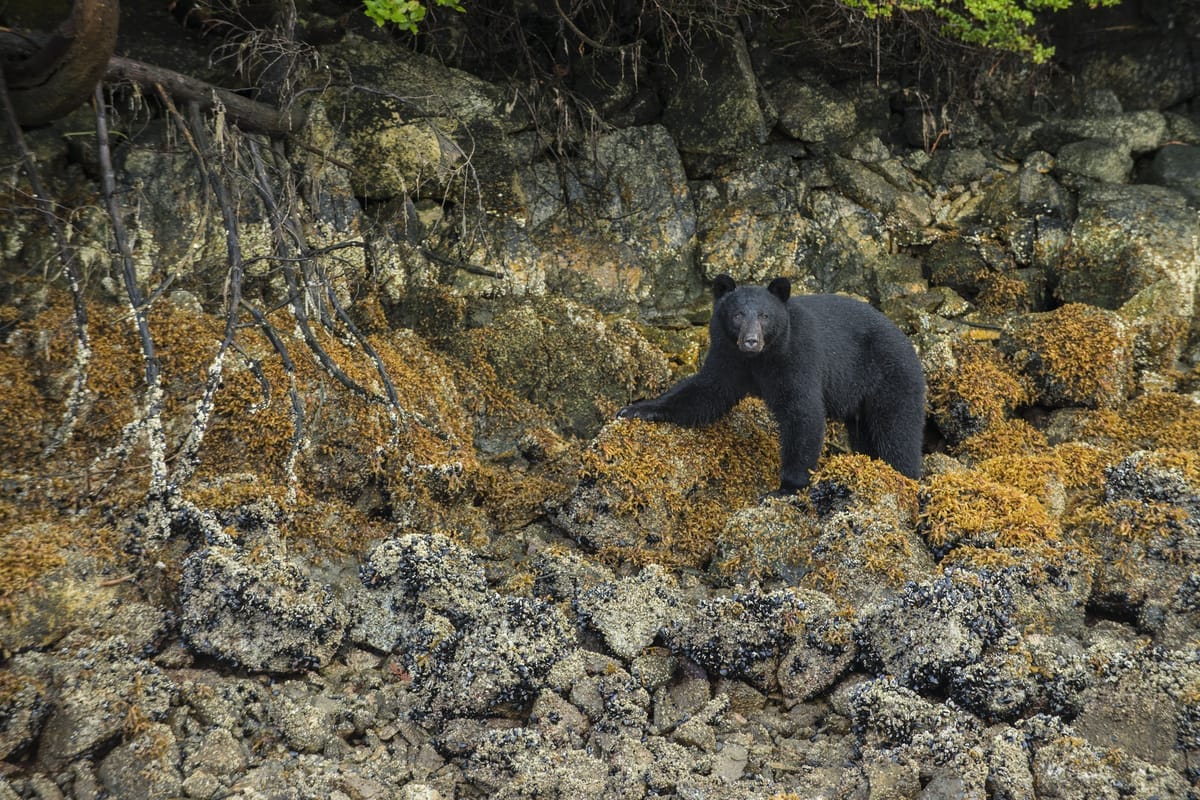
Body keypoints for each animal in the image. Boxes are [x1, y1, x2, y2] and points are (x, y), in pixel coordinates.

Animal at [619, 275, 926, 494]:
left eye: (764, 316)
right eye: (738, 314)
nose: (751, 341)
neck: (759, 359)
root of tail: (909, 344)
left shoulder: (796, 356)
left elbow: (802, 411)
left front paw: (787, 486)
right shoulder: (728, 356)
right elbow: (705, 391)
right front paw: (637, 409)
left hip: (891, 379)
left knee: (897, 433)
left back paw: (903, 476)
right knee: (866, 435)